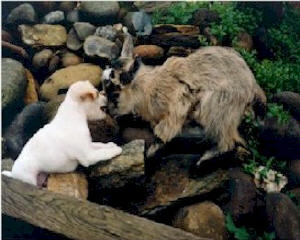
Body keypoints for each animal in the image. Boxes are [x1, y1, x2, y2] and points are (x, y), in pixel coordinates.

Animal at [102, 34, 264, 165]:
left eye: (115, 93)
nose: (109, 112)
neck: (148, 87)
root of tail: (253, 86)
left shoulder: (179, 102)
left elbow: (163, 132)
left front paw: (150, 153)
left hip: (218, 110)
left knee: (228, 142)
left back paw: (203, 159)